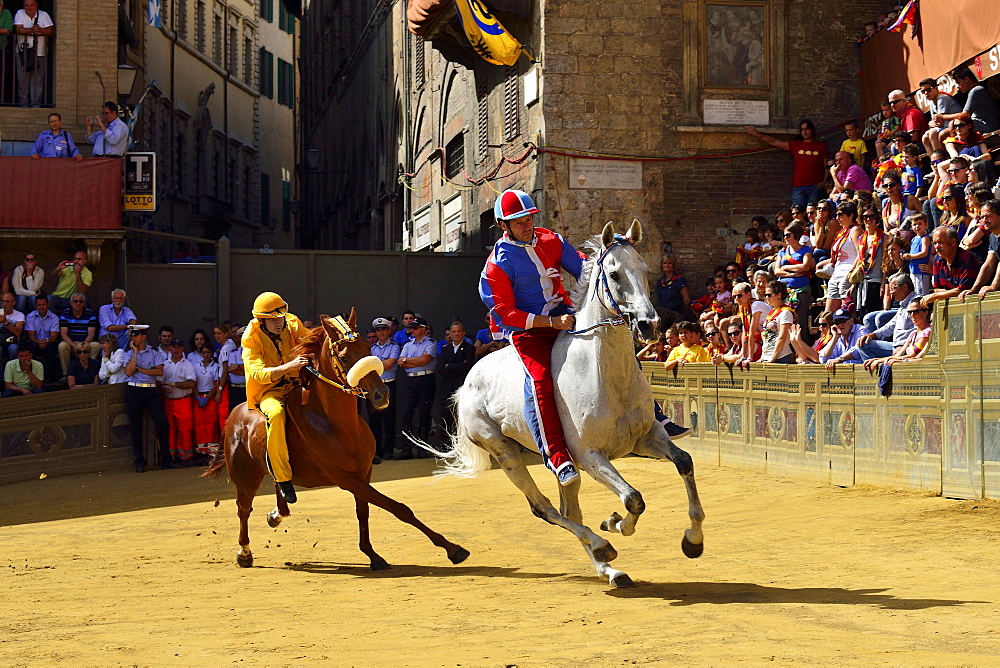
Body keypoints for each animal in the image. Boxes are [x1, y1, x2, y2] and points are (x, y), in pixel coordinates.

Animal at [205, 312, 470, 568]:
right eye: (343, 356)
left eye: (367, 347)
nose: (381, 394)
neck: (336, 423)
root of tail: (235, 414)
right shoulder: (345, 477)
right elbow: (397, 508)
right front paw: (452, 548)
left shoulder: (364, 472)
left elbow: (363, 511)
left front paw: (373, 555)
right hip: (245, 477)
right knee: (243, 509)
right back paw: (244, 552)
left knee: (279, 490)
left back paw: (276, 514)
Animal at [434, 219, 708, 584]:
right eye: (614, 273)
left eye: (644, 268)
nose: (649, 325)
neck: (605, 374)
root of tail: (466, 383)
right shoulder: (589, 455)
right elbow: (633, 499)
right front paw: (615, 524)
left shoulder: (647, 437)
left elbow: (684, 463)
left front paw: (693, 540)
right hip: (507, 452)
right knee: (546, 508)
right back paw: (602, 547)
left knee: (569, 507)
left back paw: (609, 569)